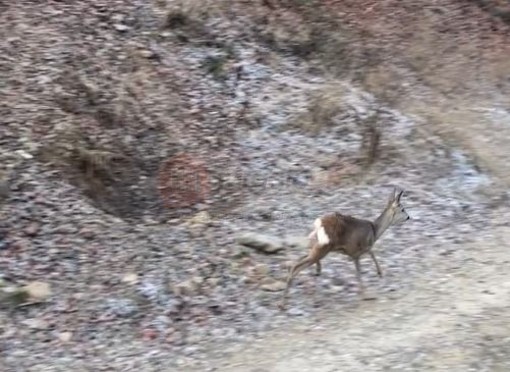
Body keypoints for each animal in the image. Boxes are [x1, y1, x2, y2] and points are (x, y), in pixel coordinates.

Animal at [278, 187, 410, 310]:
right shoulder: (357, 250)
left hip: (314, 247)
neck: (374, 230)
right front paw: (367, 292)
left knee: (295, 264)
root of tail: (318, 224)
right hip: (322, 249)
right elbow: (362, 267)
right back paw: (283, 304)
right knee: (296, 267)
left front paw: (378, 275)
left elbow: (369, 257)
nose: (408, 217)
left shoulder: (354, 252)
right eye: (402, 209)